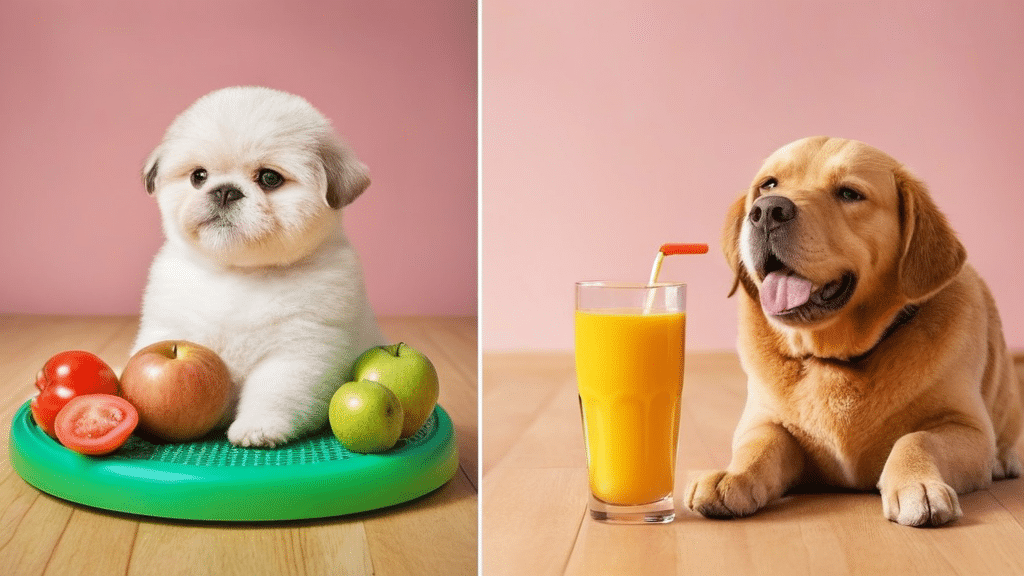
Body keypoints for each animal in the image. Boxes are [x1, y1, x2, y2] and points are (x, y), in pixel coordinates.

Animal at [136, 85, 385, 446]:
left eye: (269, 178)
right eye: (199, 176)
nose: (225, 191)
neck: (241, 273)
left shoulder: (298, 351)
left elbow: (273, 393)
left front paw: (258, 428)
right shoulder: (167, 325)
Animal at [684, 135, 1019, 524]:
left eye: (849, 193)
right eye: (768, 185)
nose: (767, 211)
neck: (836, 357)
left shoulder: (969, 429)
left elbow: (916, 438)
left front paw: (918, 485)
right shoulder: (762, 420)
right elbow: (760, 444)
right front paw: (731, 476)